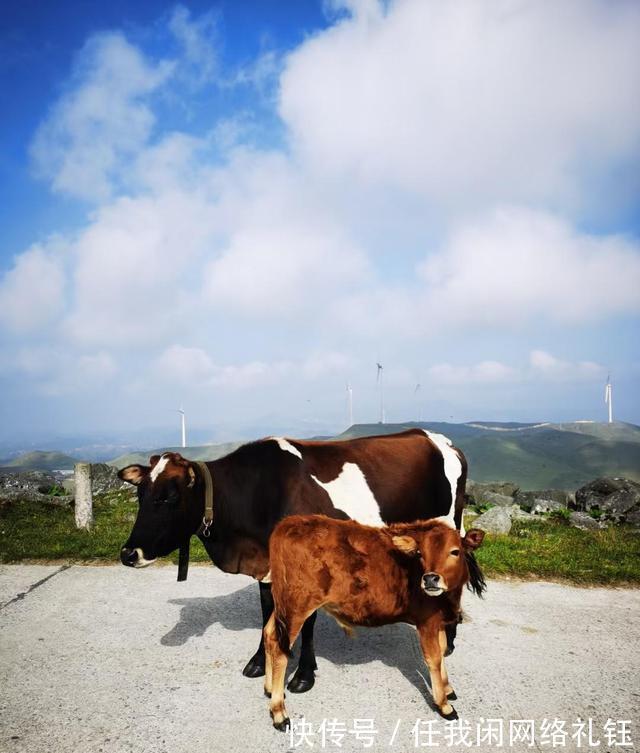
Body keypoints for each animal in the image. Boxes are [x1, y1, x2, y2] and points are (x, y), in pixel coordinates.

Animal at [119, 428, 484, 692]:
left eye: (170, 497)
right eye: (141, 494)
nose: (128, 553)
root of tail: (443, 440)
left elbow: (306, 622)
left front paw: (304, 674)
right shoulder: (267, 565)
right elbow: (268, 610)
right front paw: (262, 660)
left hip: (449, 524)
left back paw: (448, 640)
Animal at [262, 516, 482, 732]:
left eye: (455, 551)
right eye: (421, 554)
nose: (430, 579)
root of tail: (289, 523)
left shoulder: (438, 621)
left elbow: (443, 650)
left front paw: (448, 688)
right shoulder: (426, 622)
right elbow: (434, 659)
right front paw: (444, 705)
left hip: (284, 607)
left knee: (269, 635)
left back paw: (270, 689)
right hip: (297, 607)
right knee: (280, 650)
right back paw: (279, 712)